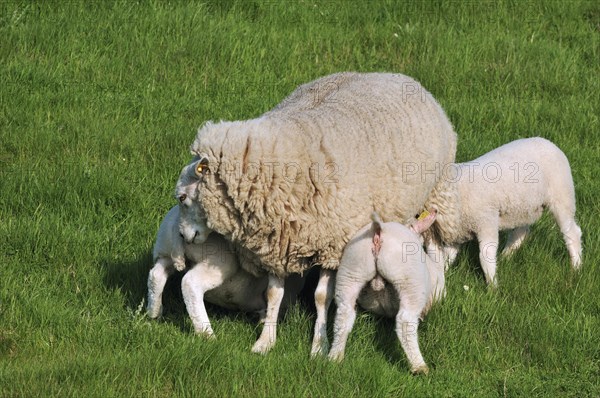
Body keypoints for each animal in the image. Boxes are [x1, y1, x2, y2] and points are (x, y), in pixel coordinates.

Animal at [146, 205, 304, 336]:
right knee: (190, 283)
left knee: (156, 274)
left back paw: (154, 312)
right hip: (218, 261)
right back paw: (206, 334)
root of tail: (178, 229)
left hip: (163, 250)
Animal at [179, 72, 460, 354]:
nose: (183, 236)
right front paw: (265, 340)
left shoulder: (332, 247)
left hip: (435, 190)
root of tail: (397, 75)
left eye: (182, 198)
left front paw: (319, 345)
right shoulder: (277, 245)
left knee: (434, 241)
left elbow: (322, 296)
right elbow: (273, 294)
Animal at [328, 210, 446, 374]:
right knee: (405, 321)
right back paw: (419, 366)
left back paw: (335, 357)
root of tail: (379, 230)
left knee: (344, 314)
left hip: (351, 270)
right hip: (410, 281)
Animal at [434, 137, 580, 286]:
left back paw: (576, 267)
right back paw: (505, 256)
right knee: (521, 232)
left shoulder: (486, 221)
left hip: (562, 196)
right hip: (523, 208)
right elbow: (447, 256)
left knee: (572, 232)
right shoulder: (457, 232)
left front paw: (493, 285)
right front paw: (441, 275)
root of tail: (546, 141)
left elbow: (485, 256)